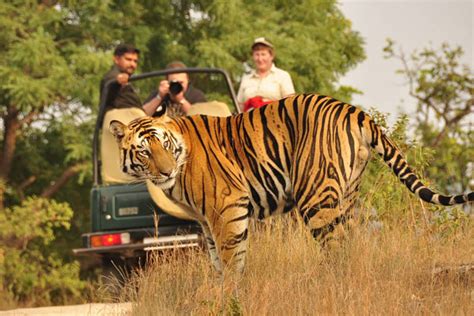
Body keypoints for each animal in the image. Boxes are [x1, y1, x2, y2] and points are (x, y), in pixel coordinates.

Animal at [108, 94, 474, 274]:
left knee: (336, 249)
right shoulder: (206, 221)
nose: (166, 171)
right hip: (347, 196)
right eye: (144, 151)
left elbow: (231, 260)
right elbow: (217, 263)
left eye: (164, 145)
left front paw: (229, 297)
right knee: (350, 244)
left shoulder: (228, 207)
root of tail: (354, 110)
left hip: (315, 197)